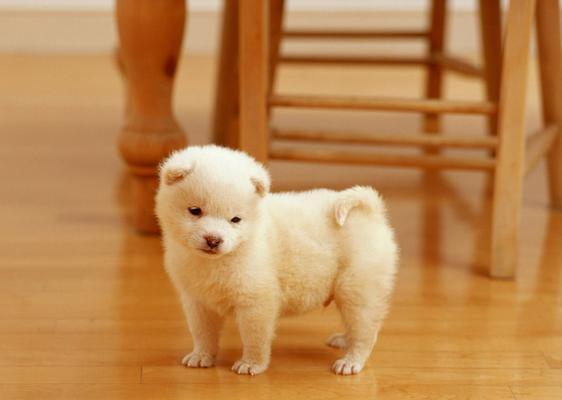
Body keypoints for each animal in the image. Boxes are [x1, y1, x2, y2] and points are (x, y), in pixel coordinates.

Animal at [155, 145, 396, 376]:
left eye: (235, 219)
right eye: (195, 210)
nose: (213, 240)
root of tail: (372, 213)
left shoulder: (256, 302)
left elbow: (254, 338)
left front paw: (251, 364)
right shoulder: (198, 301)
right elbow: (203, 333)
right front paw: (201, 356)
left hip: (356, 288)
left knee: (365, 331)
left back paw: (351, 361)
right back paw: (344, 340)